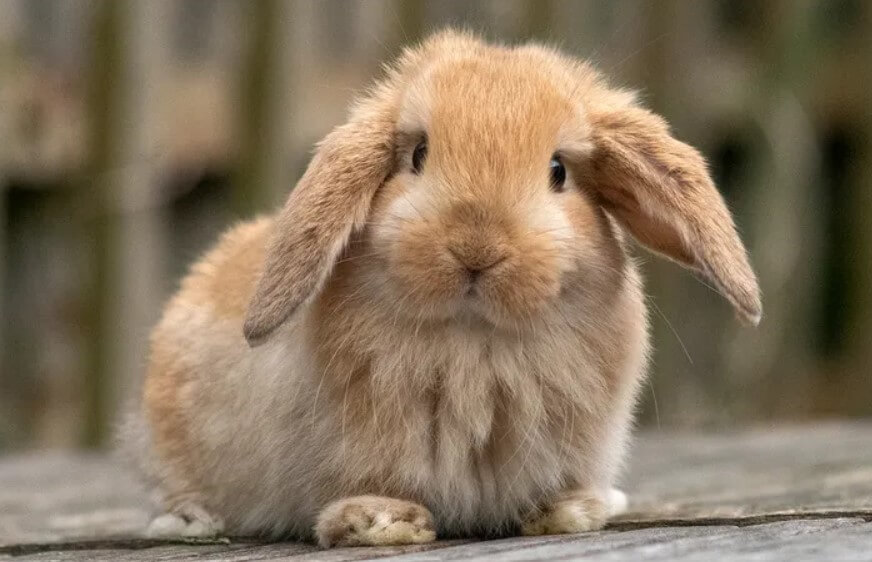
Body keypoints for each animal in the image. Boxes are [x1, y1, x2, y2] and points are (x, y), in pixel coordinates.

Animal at [122, 30, 761, 547]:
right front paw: (381, 522)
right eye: (418, 154)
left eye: (558, 171)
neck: (474, 340)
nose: (476, 248)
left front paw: (569, 511)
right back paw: (190, 521)